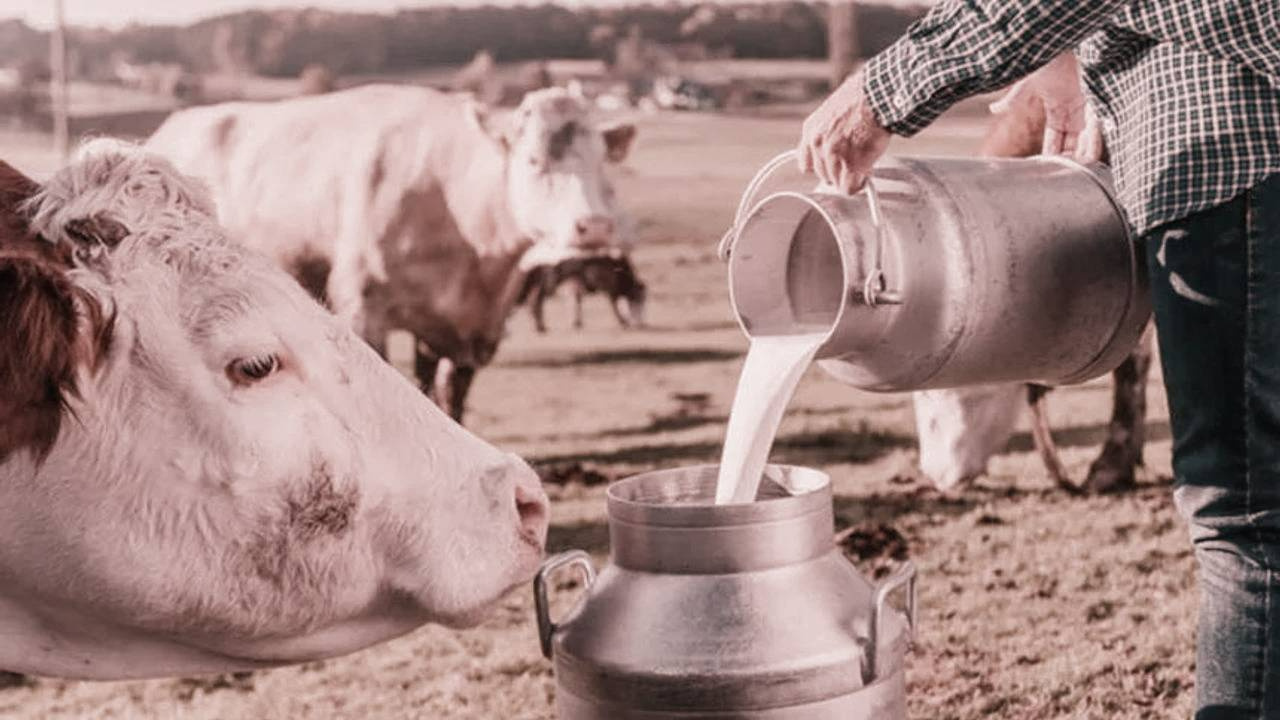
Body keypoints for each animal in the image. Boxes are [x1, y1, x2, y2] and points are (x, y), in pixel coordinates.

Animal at [147, 83, 637, 420]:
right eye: (535, 161)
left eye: (601, 161)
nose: (595, 226)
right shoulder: (364, 308)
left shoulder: (462, 330)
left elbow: (447, 398)